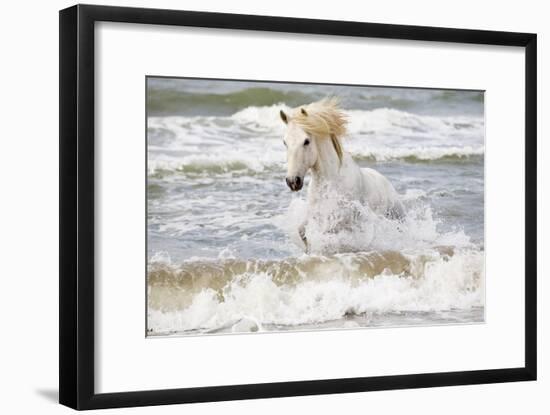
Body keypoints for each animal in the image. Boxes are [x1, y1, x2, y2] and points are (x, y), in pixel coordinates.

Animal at [280, 99, 406, 252]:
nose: (293, 181)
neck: (332, 181)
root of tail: (385, 181)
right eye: (285, 142)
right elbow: (302, 232)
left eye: (306, 141)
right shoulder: (315, 214)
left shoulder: (341, 219)